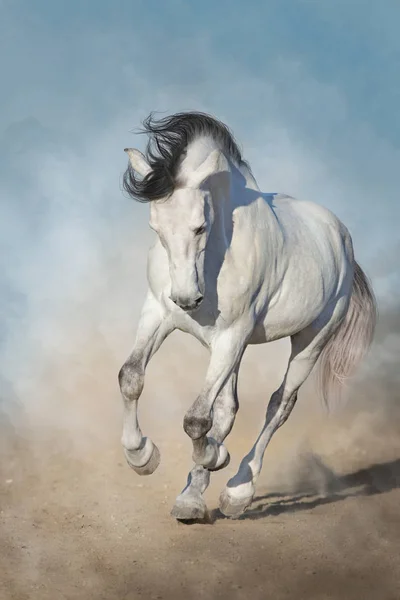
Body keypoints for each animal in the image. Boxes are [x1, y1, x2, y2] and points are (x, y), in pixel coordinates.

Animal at [118, 112, 376, 520]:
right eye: (155, 228)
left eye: (199, 226)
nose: (186, 299)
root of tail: (341, 237)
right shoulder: (158, 313)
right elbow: (131, 377)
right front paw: (142, 456)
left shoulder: (232, 334)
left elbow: (197, 419)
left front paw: (214, 457)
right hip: (232, 350)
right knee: (228, 408)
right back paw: (191, 498)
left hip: (310, 341)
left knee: (279, 405)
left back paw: (237, 490)